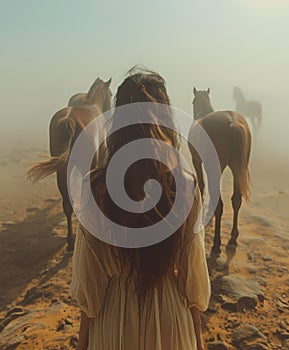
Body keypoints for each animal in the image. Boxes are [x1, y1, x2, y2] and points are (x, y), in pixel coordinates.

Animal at [188, 88, 251, 254]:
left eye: (193, 101)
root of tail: (233, 123)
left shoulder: (196, 161)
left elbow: (202, 185)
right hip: (237, 169)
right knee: (236, 200)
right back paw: (233, 238)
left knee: (220, 205)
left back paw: (217, 244)